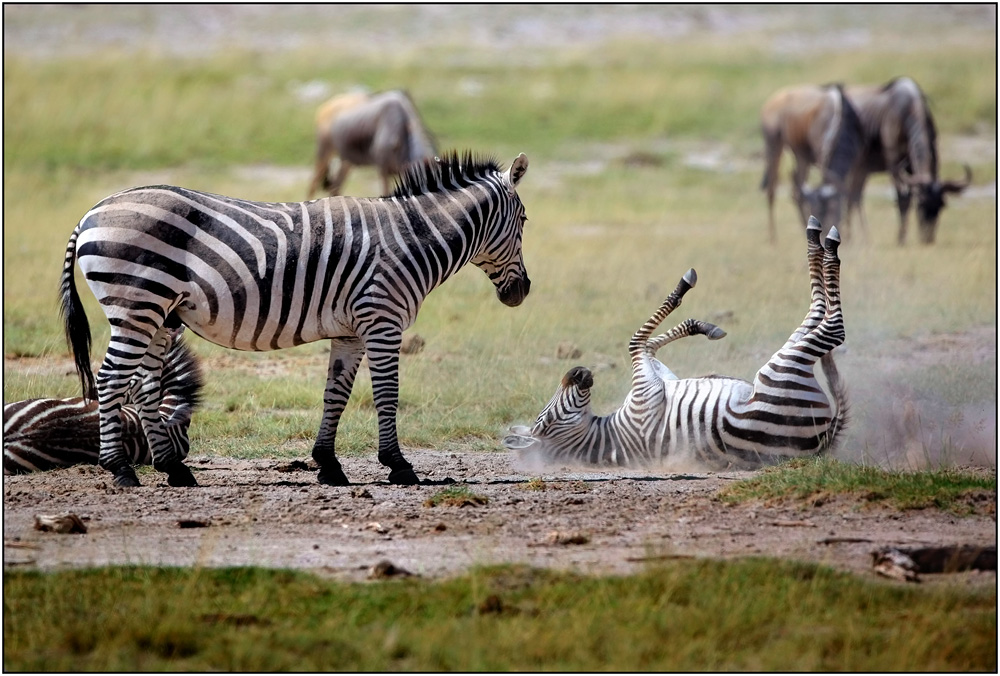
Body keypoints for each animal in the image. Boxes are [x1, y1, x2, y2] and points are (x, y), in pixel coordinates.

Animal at [60, 149, 532, 486]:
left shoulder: (351, 331)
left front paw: (329, 465)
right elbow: (387, 395)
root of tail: (90, 213)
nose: (522, 292)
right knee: (111, 379)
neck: (411, 238)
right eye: (525, 220)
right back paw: (120, 469)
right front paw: (398, 466)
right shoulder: (382, 320)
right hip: (136, 304)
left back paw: (175, 470)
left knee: (144, 385)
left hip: (159, 314)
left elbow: (335, 395)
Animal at [504, 217, 848, 470]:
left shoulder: (659, 380)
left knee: (816, 315)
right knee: (832, 328)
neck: (609, 435)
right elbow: (635, 342)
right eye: (546, 421)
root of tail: (826, 437)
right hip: (778, 371)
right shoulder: (647, 394)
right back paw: (826, 242)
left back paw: (815, 238)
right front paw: (685, 290)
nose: (577, 371)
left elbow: (647, 344)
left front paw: (702, 326)